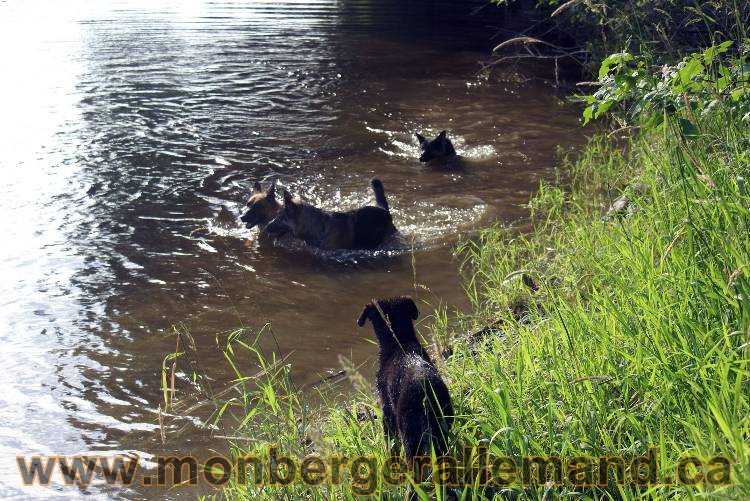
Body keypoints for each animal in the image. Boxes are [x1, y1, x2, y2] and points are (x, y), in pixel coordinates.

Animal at [356, 294, 456, 478]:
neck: (399, 342)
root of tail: (425, 394)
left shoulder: (387, 413)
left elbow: (391, 446)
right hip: (441, 430)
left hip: (410, 436)